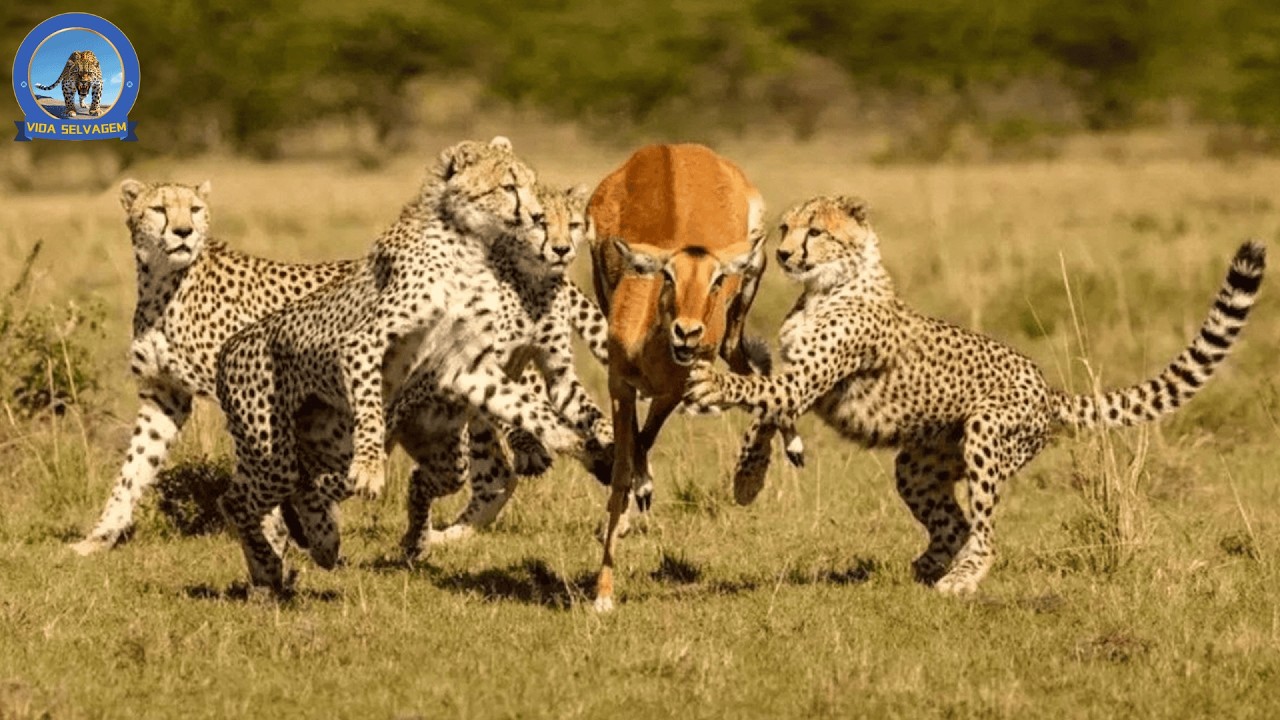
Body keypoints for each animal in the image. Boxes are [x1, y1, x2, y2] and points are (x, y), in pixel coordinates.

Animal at [215, 137, 611, 595]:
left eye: (531, 187)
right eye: (509, 187)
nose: (534, 220)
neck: (469, 244)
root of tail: (229, 348)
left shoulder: (469, 366)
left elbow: (530, 406)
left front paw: (577, 439)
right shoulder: (364, 342)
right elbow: (371, 408)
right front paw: (370, 471)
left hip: (332, 449)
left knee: (302, 490)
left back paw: (309, 552)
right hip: (279, 452)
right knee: (240, 500)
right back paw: (272, 565)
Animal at [684, 194, 1265, 596]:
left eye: (817, 231)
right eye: (785, 228)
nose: (783, 253)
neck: (830, 285)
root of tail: (1047, 388)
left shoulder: (803, 381)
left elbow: (756, 391)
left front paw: (711, 383)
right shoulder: (799, 383)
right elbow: (763, 416)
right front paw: (747, 478)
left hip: (988, 434)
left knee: (984, 533)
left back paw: (961, 580)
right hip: (919, 465)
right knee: (956, 524)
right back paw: (931, 564)